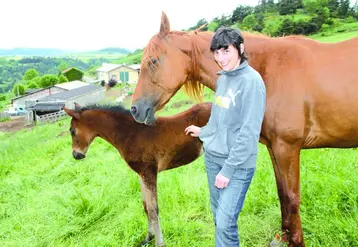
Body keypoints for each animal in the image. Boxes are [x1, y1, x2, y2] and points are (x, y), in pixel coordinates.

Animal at [63, 102, 213, 245]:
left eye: (72, 131)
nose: (76, 155)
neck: (130, 134)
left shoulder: (149, 172)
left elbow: (153, 210)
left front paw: (159, 243)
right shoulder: (141, 174)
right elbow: (146, 206)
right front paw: (148, 238)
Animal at [130, 12, 358, 247]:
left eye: (153, 61)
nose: (135, 109)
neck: (267, 70)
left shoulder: (288, 148)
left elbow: (293, 198)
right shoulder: (275, 148)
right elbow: (282, 194)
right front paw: (283, 236)